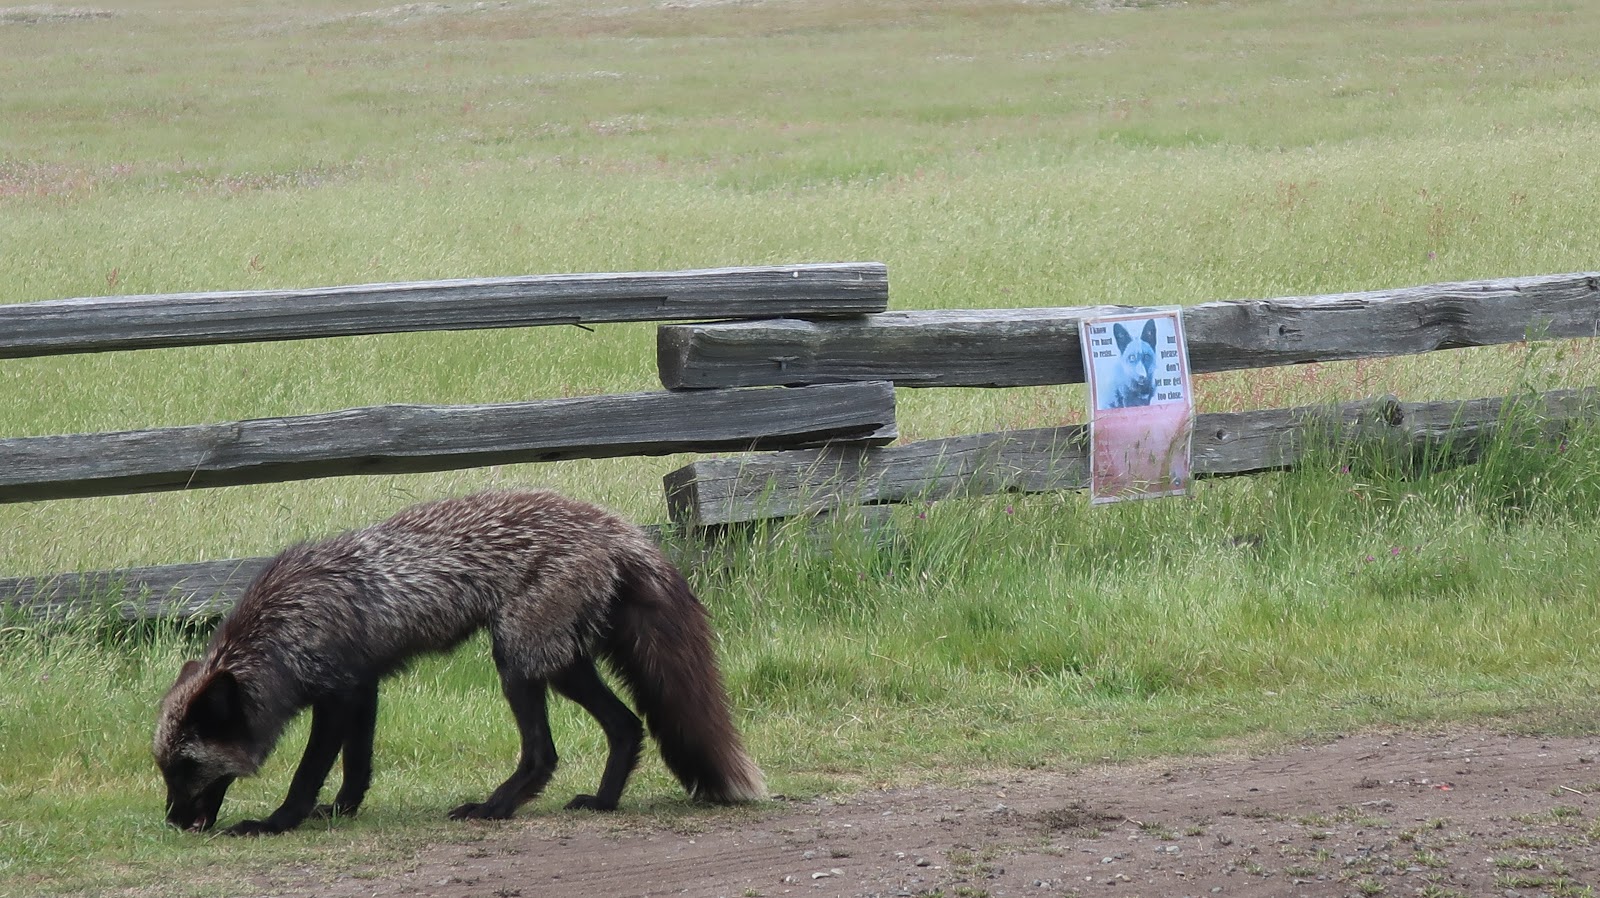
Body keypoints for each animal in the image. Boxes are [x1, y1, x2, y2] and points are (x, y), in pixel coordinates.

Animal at [153, 489, 766, 835]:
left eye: (186, 767)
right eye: (165, 770)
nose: (174, 824)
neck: (281, 629)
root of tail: (618, 528)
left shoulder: (337, 695)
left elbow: (307, 776)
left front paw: (276, 824)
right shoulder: (364, 687)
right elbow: (357, 766)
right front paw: (343, 811)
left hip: (519, 660)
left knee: (544, 754)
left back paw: (495, 809)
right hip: (562, 663)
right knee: (627, 725)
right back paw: (602, 804)